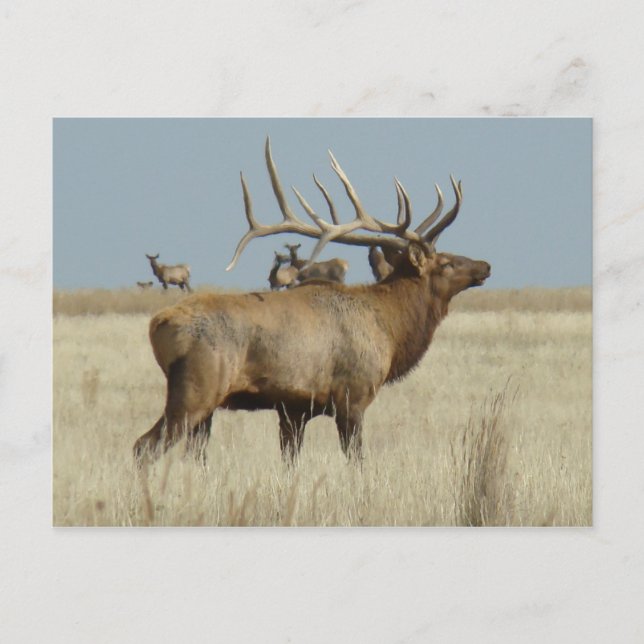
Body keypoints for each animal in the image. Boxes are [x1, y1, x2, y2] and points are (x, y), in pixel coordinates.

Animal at [133, 138, 490, 466]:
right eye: (446, 263)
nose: (485, 266)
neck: (390, 329)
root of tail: (158, 324)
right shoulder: (352, 395)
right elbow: (356, 460)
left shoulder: (294, 409)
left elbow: (290, 461)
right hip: (197, 389)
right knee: (144, 446)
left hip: (205, 405)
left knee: (192, 454)